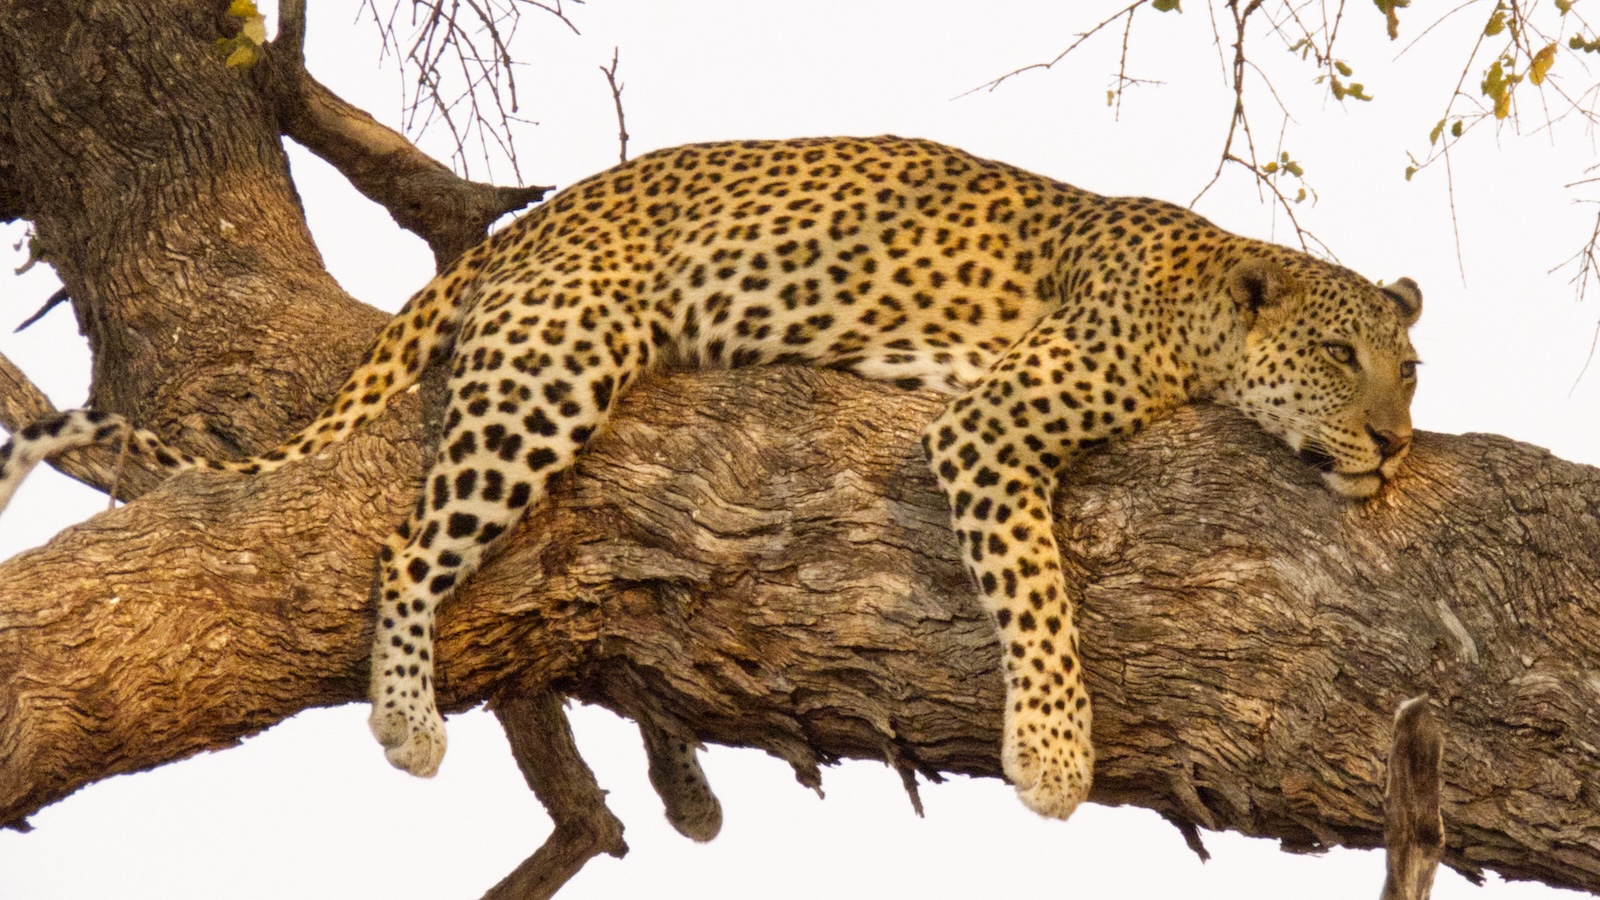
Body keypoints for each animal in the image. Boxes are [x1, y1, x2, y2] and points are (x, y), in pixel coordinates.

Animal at [0, 134, 1420, 819]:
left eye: (1408, 368)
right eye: (1337, 356)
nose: (1398, 443)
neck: (1207, 307)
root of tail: (537, 216)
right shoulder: (989, 426)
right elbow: (1037, 594)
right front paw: (1056, 755)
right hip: (552, 370)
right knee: (405, 547)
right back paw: (406, 720)